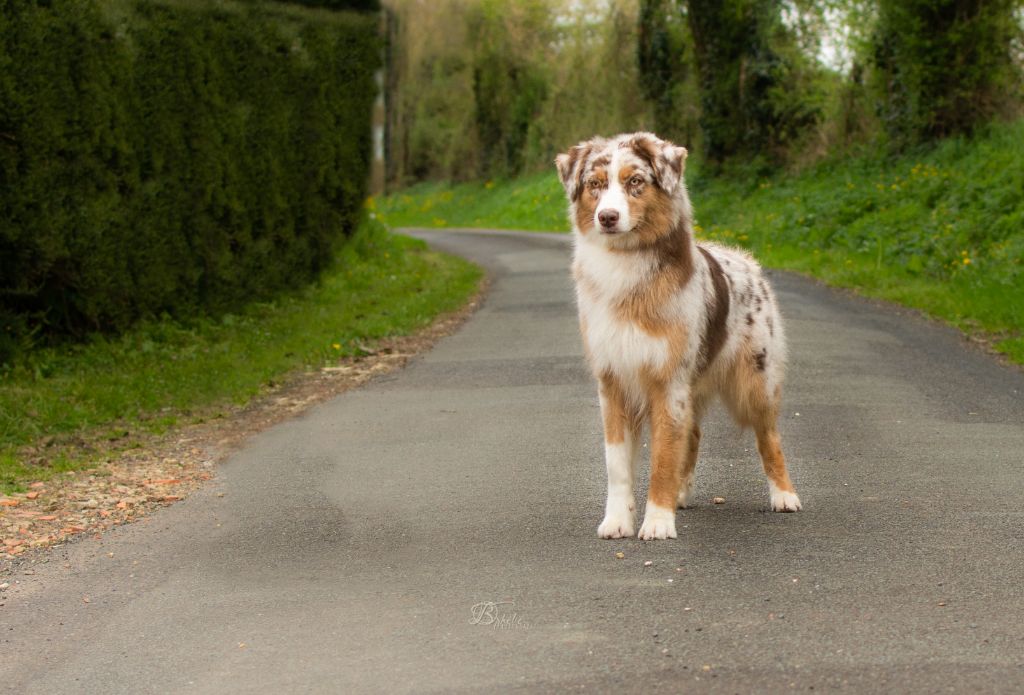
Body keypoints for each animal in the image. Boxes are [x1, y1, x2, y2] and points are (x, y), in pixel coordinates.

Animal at [557, 132, 802, 544]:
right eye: (595, 184)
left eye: (635, 181)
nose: (607, 217)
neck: (626, 266)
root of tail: (744, 260)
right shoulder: (613, 381)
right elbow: (617, 464)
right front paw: (617, 521)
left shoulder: (667, 381)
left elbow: (663, 457)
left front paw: (657, 521)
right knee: (695, 434)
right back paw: (682, 494)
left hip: (755, 380)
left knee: (769, 437)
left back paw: (784, 495)